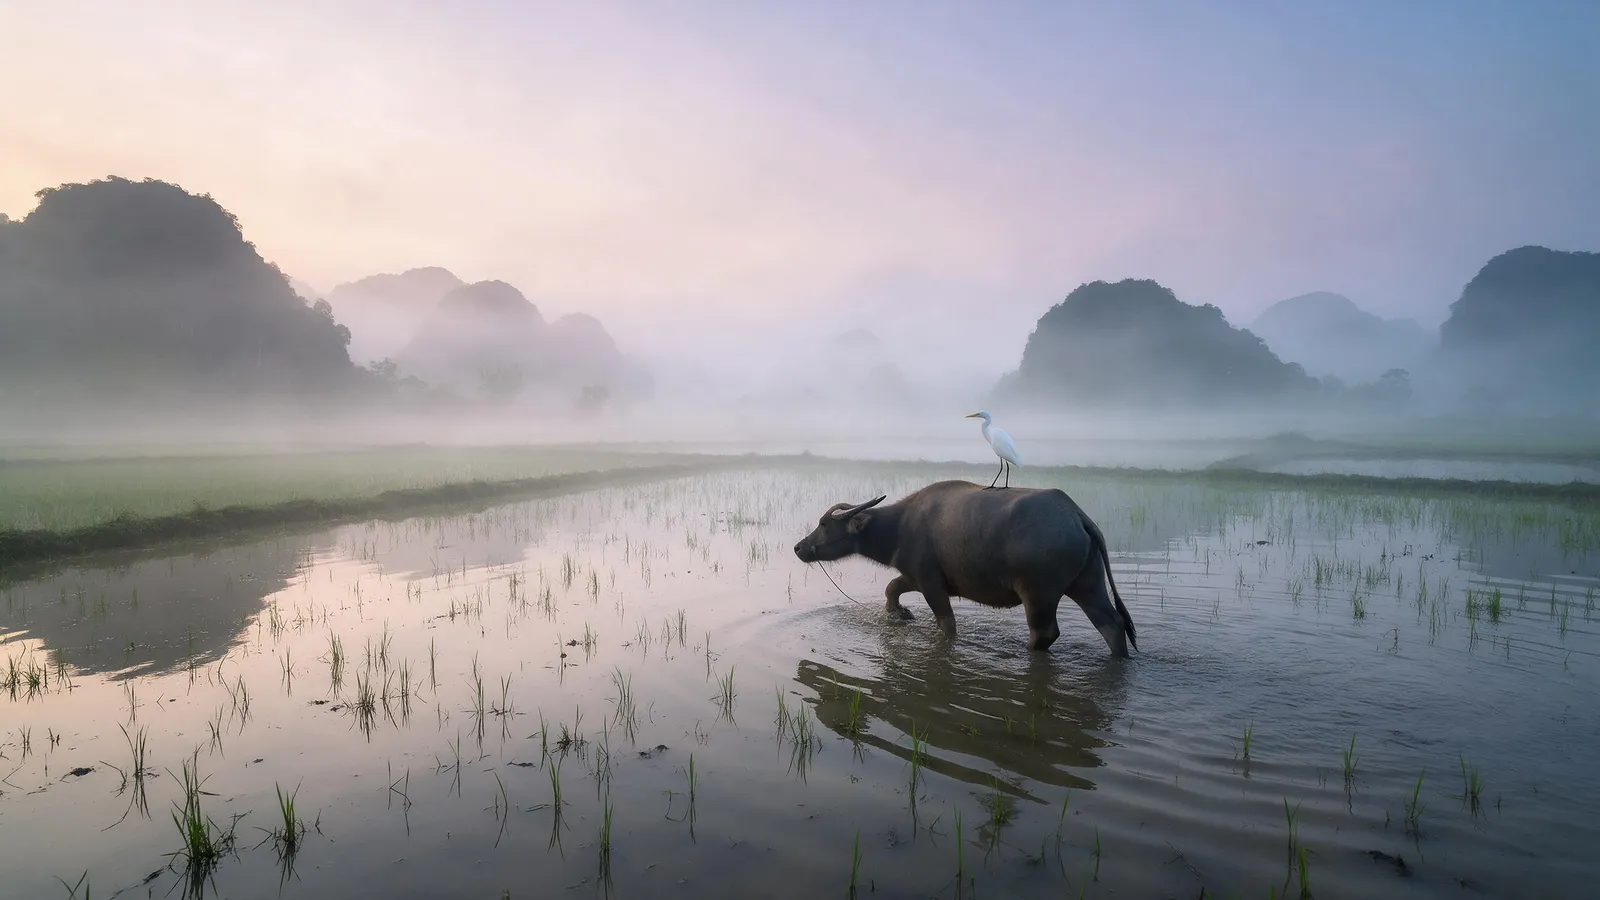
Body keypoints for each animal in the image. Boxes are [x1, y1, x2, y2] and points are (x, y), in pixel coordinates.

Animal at [793, 480, 1137, 657]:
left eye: (824, 524)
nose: (799, 547)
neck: (901, 526)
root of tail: (1077, 515)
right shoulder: (916, 575)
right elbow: (892, 588)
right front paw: (898, 614)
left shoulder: (931, 583)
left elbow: (947, 624)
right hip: (1087, 583)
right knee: (1112, 623)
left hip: (1039, 593)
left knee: (1045, 633)